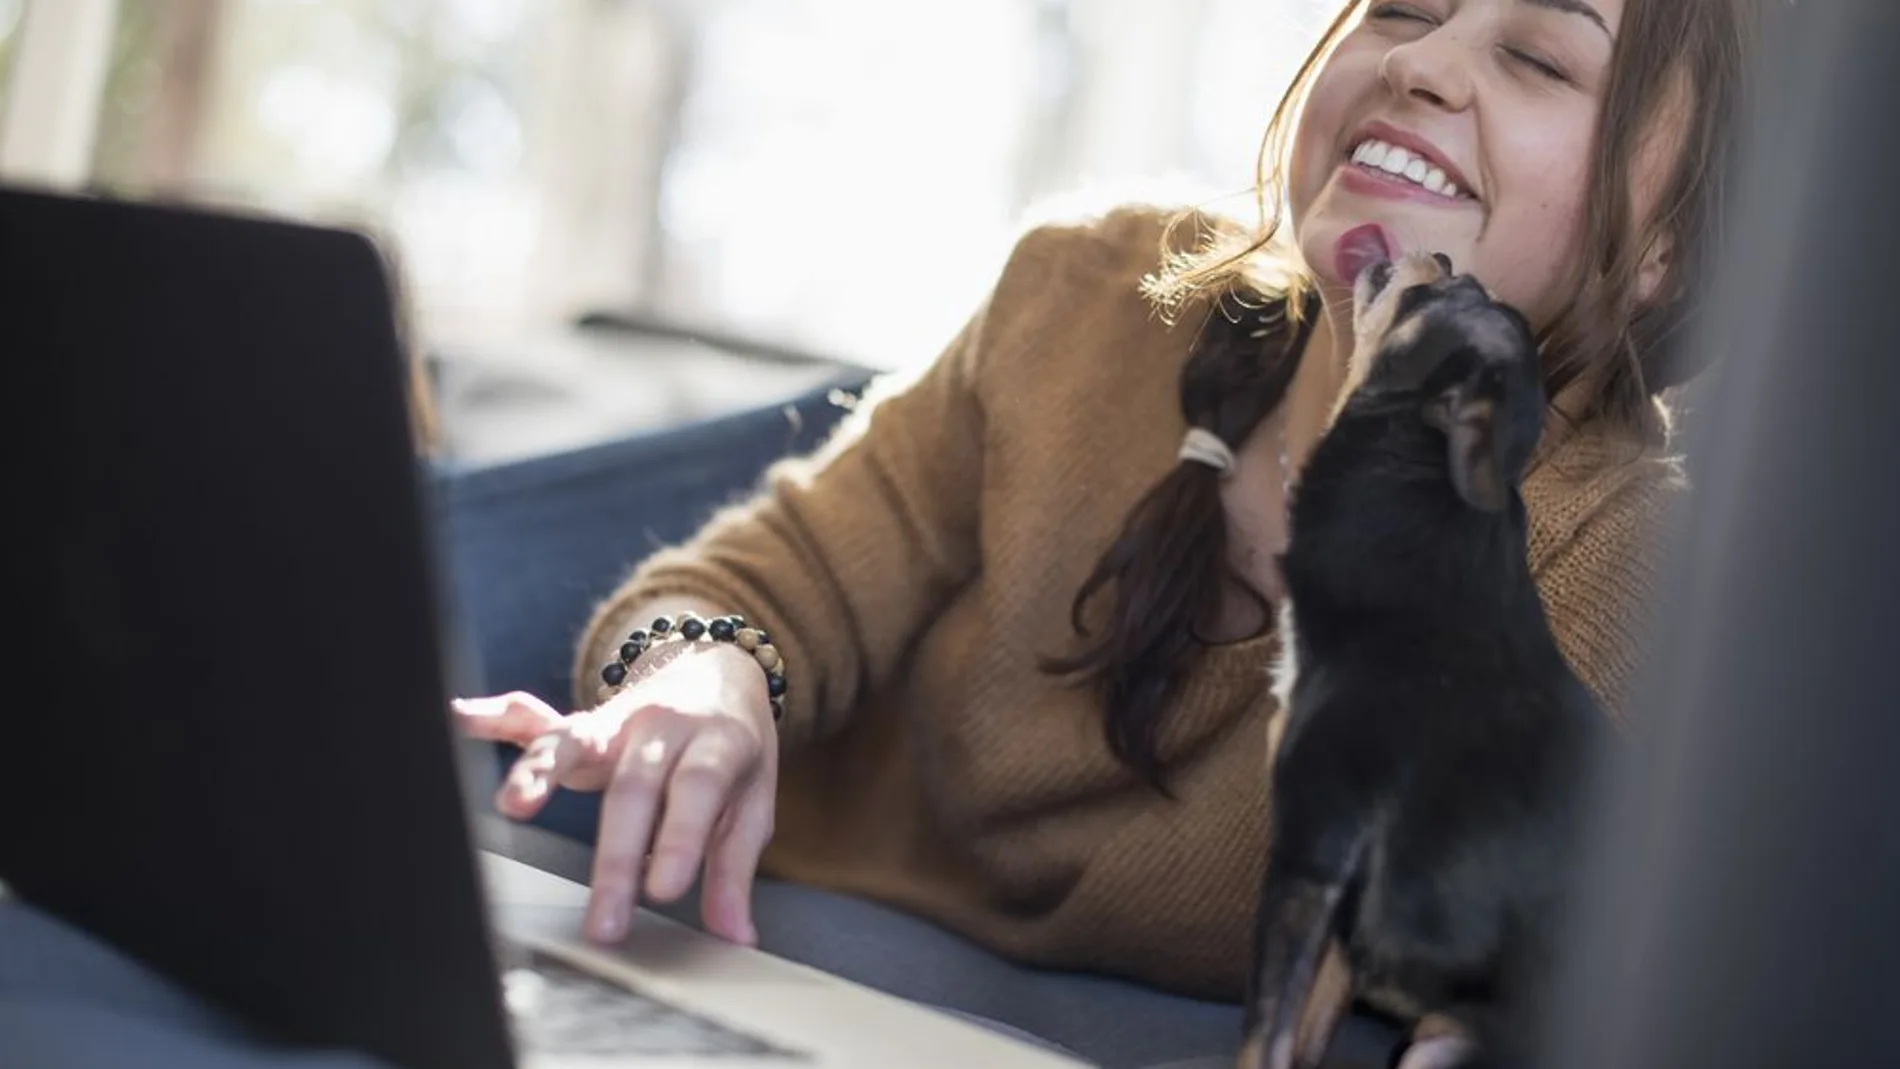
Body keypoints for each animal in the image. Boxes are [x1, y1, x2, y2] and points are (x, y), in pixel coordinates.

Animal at [1246, 252, 1618, 1069]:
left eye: (1448, 291)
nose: (1442, 257)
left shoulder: (1311, 857)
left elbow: (1265, 1033)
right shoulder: (1341, 922)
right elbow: (1307, 1035)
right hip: (1433, 1043)